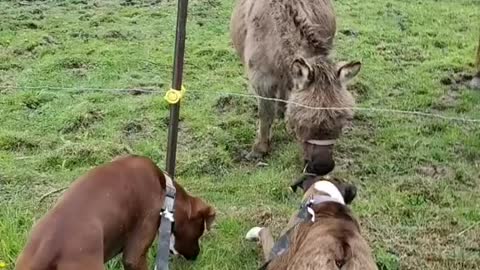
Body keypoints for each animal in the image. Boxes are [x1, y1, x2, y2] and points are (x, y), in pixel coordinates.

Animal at [232, 0, 360, 175]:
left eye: (343, 121)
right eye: (304, 122)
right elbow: (265, 114)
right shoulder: (261, 80)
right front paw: (260, 149)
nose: (322, 167)